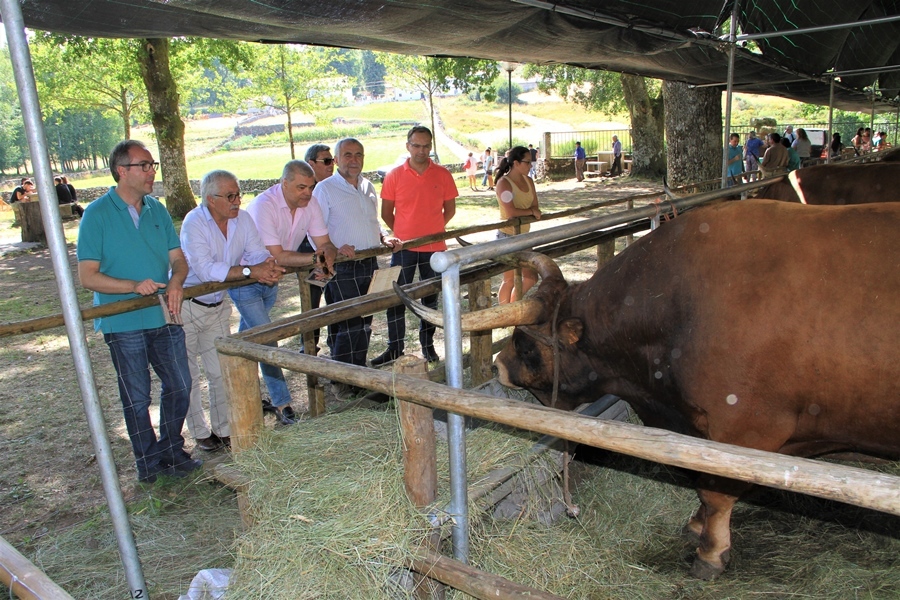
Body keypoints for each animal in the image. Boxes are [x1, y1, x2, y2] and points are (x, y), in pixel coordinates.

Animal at [396, 199, 900, 580]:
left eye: (525, 343)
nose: (500, 366)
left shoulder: (745, 430)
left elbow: (716, 492)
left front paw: (710, 553)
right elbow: (702, 488)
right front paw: (697, 526)